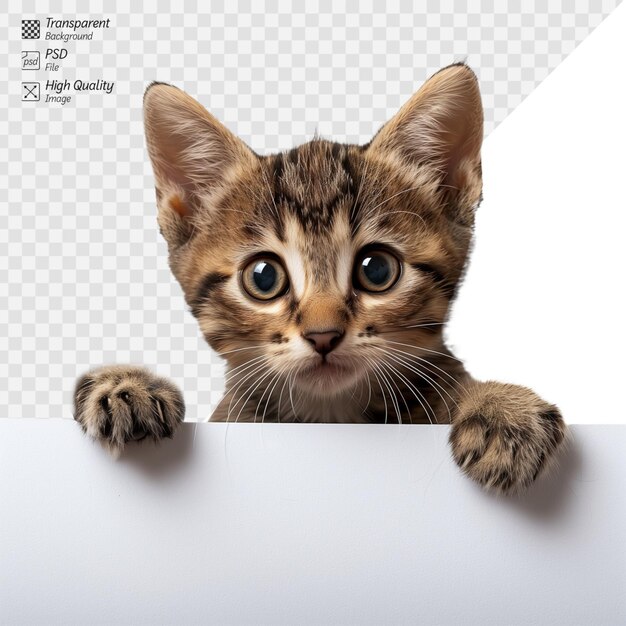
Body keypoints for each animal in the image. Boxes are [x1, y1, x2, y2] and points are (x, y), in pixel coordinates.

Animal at [73, 64, 564, 492]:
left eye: (376, 269)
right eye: (264, 277)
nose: (323, 335)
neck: (332, 415)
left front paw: (502, 407)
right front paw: (126, 384)